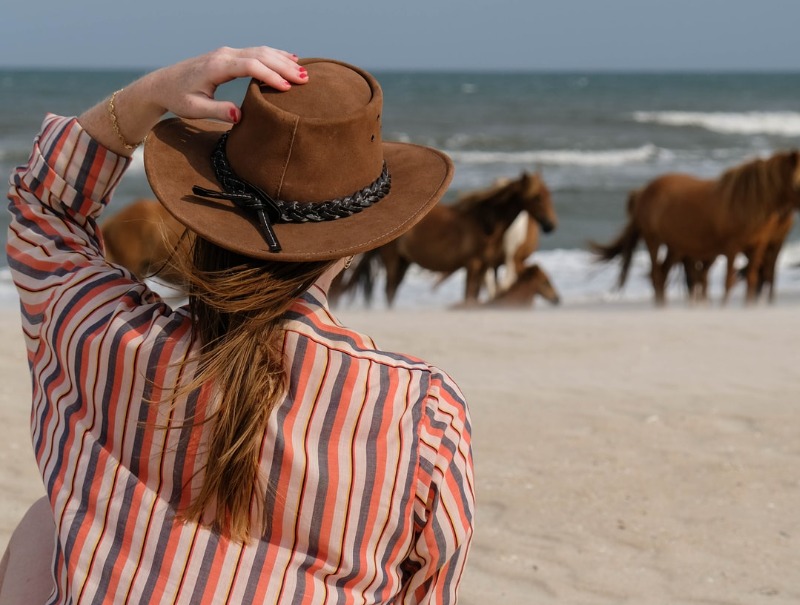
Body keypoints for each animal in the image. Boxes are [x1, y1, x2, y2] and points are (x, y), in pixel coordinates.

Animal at [342, 172, 556, 306]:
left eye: (548, 195)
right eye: (537, 197)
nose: (550, 225)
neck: (483, 222)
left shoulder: (484, 267)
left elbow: (474, 297)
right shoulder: (473, 265)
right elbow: (468, 295)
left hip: (404, 262)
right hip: (394, 261)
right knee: (389, 291)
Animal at [592, 149, 800, 304]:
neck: (747, 202)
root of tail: (642, 191)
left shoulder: (758, 247)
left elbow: (754, 279)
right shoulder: (732, 248)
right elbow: (728, 281)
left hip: (676, 247)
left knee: (667, 275)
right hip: (654, 240)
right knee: (658, 276)